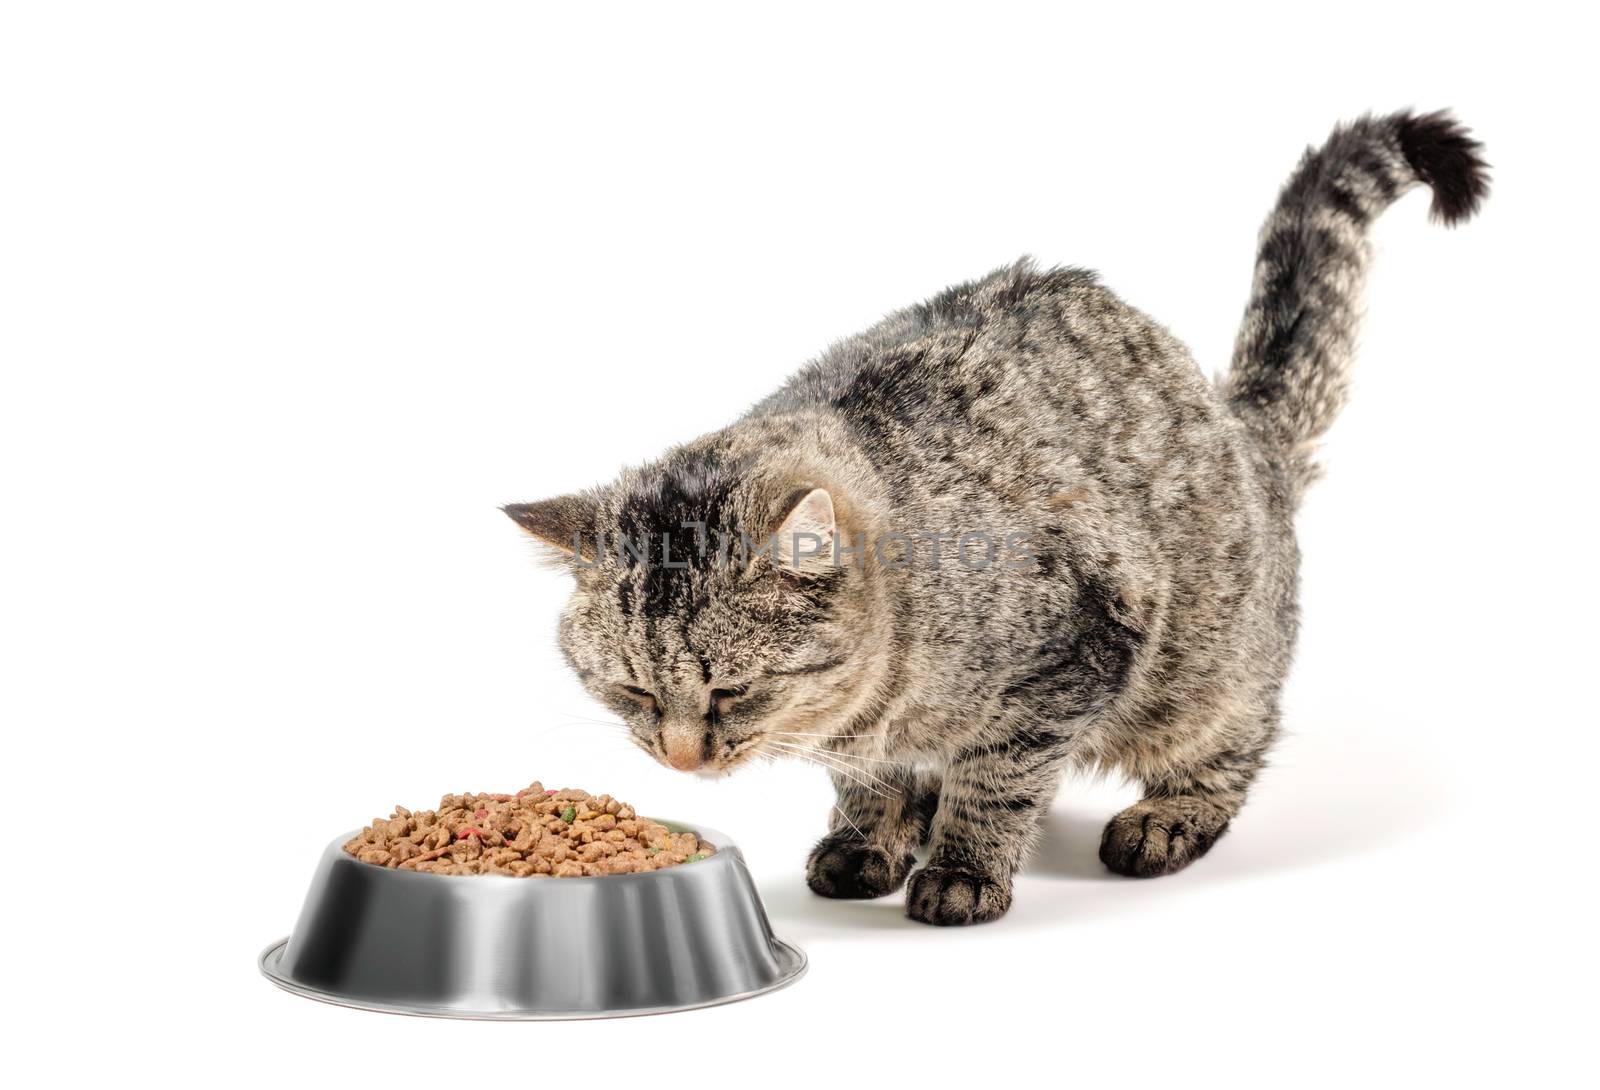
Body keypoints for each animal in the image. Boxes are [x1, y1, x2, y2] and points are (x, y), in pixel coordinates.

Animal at [502, 114, 1484, 921]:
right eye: (632, 691)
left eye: (731, 693)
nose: (680, 761)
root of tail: (1240, 423)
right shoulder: (871, 731)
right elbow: (874, 778)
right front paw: (872, 835)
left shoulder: (1075, 652)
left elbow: (1000, 777)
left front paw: (965, 866)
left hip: (1202, 670)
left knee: (1232, 741)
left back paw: (1168, 814)